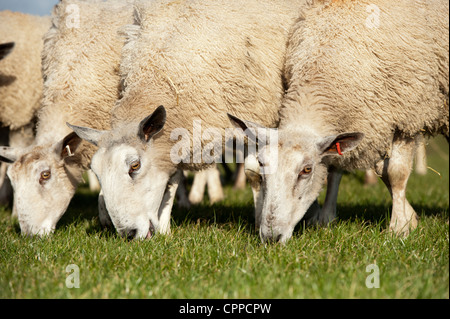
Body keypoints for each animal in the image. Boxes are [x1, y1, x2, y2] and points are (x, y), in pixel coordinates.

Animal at [68, 0, 310, 240]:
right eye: (96, 172)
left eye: (134, 166)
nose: (128, 234)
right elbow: (173, 178)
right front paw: (164, 228)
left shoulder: (255, 115)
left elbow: (256, 171)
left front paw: (261, 219)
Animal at [230, 0, 448, 242]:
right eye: (261, 164)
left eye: (306, 170)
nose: (271, 237)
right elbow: (339, 167)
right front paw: (326, 218)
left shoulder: (407, 115)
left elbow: (396, 173)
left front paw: (399, 227)